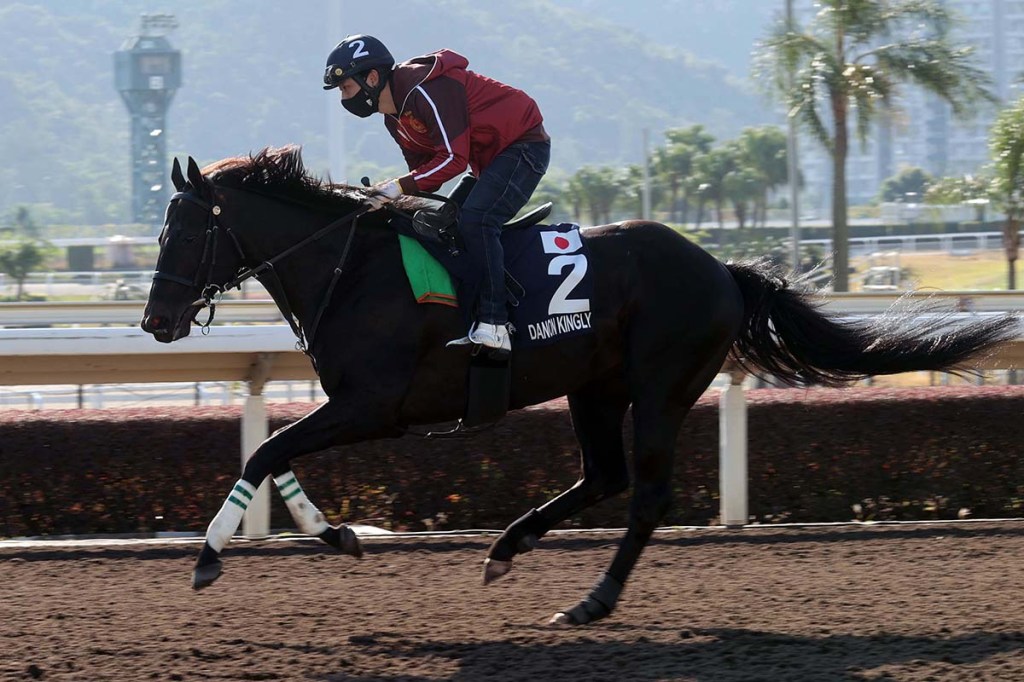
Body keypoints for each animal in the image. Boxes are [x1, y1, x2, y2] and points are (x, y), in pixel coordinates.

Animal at [141, 145, 1016, 626]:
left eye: (184, 230)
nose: (155, 320)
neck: (352, 266)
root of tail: (721, 268)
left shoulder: (372, 405)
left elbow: (265, 455)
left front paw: (209, 559)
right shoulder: (354, 405)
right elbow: (276, 455)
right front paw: (340, 535)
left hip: (663, 386)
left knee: (646, 495)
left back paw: (592, 599)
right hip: (594, 387)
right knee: (603, 476)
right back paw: (505, 549)